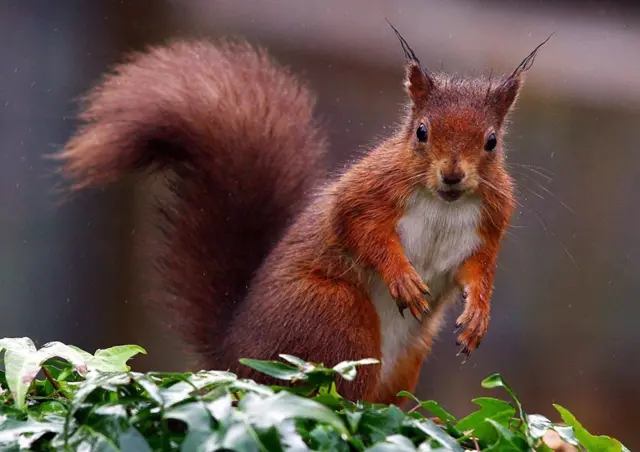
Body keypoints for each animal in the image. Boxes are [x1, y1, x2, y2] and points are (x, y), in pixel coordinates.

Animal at [58, 26, 544, 404]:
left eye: (492, 141)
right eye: (421, 132)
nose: (452, 175)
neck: (445, 204)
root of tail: (233, 356)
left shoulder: (489, 225)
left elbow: (479, 271)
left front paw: (478, 316)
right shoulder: (367, 194)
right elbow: (362, 230)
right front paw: (402, 278)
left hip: (405, 361)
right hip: (336, 319)